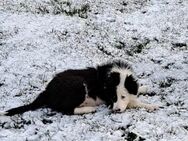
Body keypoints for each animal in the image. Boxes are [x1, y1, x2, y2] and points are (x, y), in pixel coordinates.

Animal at [0, 59, 159, 115]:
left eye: (122, 96)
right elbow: (135, 102)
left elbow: (136, 91)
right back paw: (88, 109)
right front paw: (152, 105)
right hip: (78, 85)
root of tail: (47, 90)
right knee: (65, 109)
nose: (116, 110)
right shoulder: (108, 100)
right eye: (113, 97)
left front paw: (145, 88)